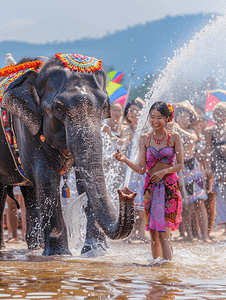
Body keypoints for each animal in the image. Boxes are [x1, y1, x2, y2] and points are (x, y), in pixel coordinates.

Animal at [0, 53, 135, 255]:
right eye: (59, 108)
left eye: (104, 105)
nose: (126, 193)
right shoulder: (24, 126)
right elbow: (47, 178)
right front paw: (60, 255)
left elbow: (83, 181)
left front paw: (95, 251)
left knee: (29, 191)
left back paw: (36, 247)